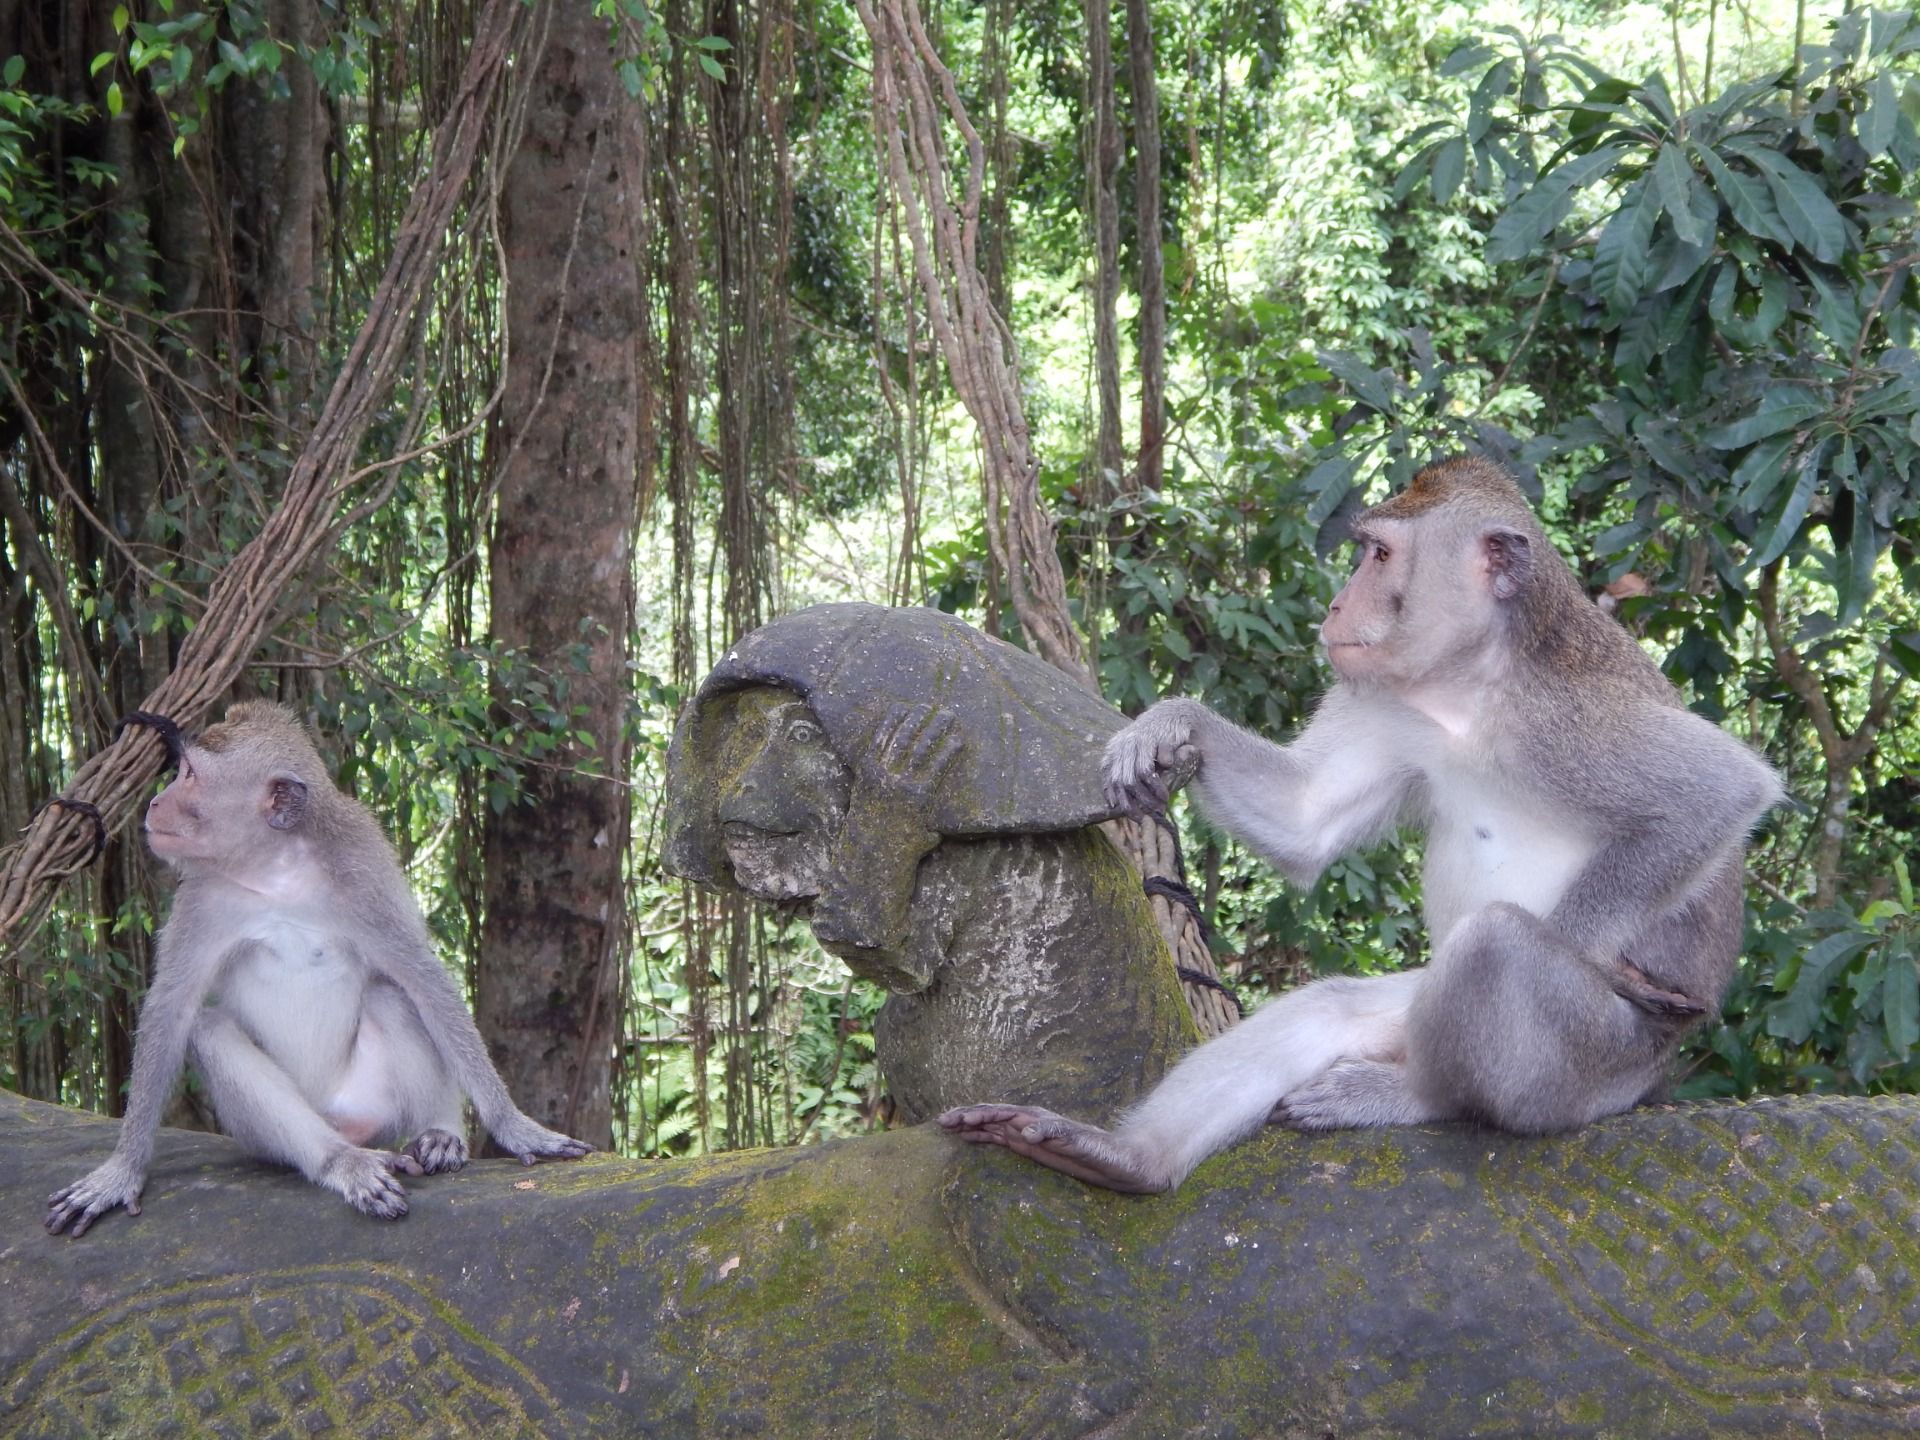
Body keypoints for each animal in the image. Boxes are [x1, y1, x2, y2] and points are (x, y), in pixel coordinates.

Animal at [46, 702, 591, 1236]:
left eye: (190, 776)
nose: (156, 804)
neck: (275, 870)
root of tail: (342, 1121)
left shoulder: (362, 875)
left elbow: (421, 978)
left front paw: (516, 1127)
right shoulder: (202, 899)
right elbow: (172, 1008)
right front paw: (122, 1172)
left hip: (374, 1104)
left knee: (391, 994)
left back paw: (439, 1134)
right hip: (267, 1135)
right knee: (211, 1031)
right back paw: (343, 1163)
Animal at [940, 457, 1782, 1193]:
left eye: (1379, 555)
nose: (1336, 607)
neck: (1469, 688)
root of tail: (1654, 1075)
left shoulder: (1566, 717)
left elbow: (1720, 793)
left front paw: (1608, 960)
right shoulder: (1391, 706)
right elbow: (1308, 818)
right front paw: (1173, 727)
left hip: (1598, 1068)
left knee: (1494, 948)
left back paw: (1420, 1095)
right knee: (1332, 1009)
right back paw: (1123, 1160)